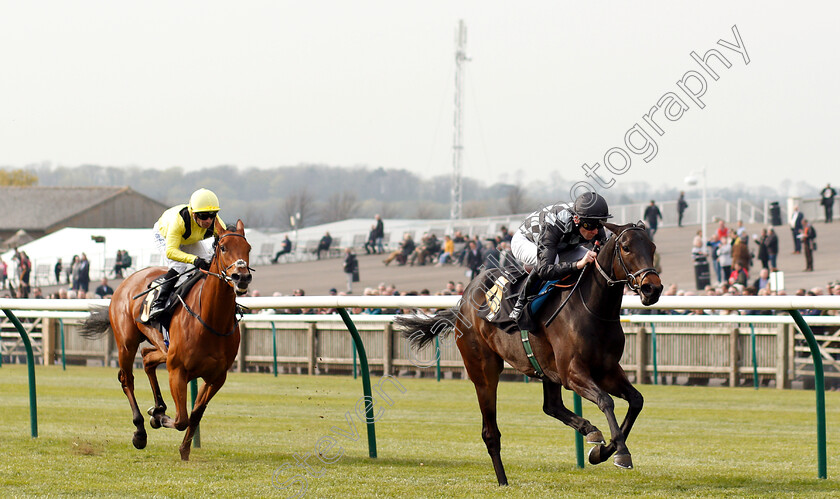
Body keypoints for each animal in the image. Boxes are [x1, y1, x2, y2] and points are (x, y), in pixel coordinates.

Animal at [80, 221, 251, 462]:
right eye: (224, 248)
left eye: (248, 248)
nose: (241, 277)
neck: (210, 320)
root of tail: (128, 280)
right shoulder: (177, 371)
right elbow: (181, 419)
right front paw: (157, 417)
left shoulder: (217, 377)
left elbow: (195, 415)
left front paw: (184, 450)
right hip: (126, 344)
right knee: (127, 379)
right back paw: (140, 431)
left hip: (162, 347)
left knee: (147, 358)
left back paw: (158, 406)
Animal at [396, 222, 664, 484]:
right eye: (626, 247)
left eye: (652, 247)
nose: (652, 288)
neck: (594, 309)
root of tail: (462, 301)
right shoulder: (573, 372)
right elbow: (605, 401)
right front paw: (621, 453)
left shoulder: (606, 370)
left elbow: (636, 400)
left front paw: (602, 451)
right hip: (484, 371)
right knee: (490, 431)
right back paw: (503, 480)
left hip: (547, 369)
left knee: (551, 406)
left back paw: (589, 431)